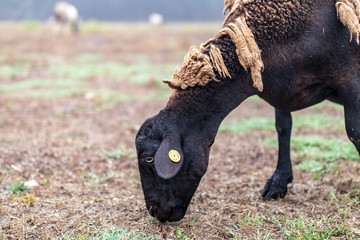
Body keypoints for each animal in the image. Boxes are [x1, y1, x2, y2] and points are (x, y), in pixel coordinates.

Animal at [134, 0, 360, 222]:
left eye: (148, 159)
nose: (154, 212)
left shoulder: (350, 81)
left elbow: (354, 133)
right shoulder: (280, 88)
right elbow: (283, 128)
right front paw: (278, 182)